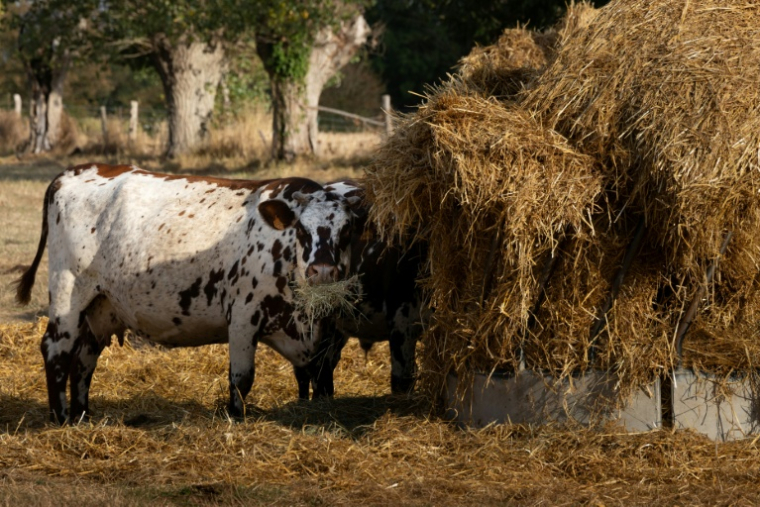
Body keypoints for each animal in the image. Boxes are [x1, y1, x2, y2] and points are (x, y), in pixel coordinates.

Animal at [15, 163, 362, 424]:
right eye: (302, 229)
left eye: (347, 231)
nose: (323, 272)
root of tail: (73, 172)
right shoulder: (243, 317)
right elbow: (241, 379)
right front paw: (236, 419)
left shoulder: (328, 338)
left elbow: (322, 380)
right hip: (68, 294)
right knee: (56, 349)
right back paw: (60, 419)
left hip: (100, 306)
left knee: (85, 358)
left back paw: (82, 416)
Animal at [294, 180, 425, 399]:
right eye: (303, 229)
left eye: (347, 229)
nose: (322, 271)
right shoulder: (402, 323)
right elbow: (402, 382)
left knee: (324, 369)